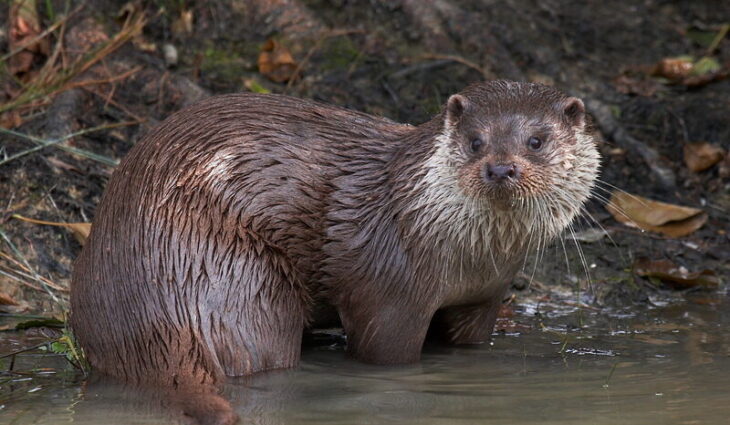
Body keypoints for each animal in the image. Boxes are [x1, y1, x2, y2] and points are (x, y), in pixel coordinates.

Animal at [71, 80, 600, 390]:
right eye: (475, 142)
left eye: (536, 140)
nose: (501, 167)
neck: (470, 259)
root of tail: (151, 312)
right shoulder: (389, 288)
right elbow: (384, 350)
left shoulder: (484, 299)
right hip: (238, 277)